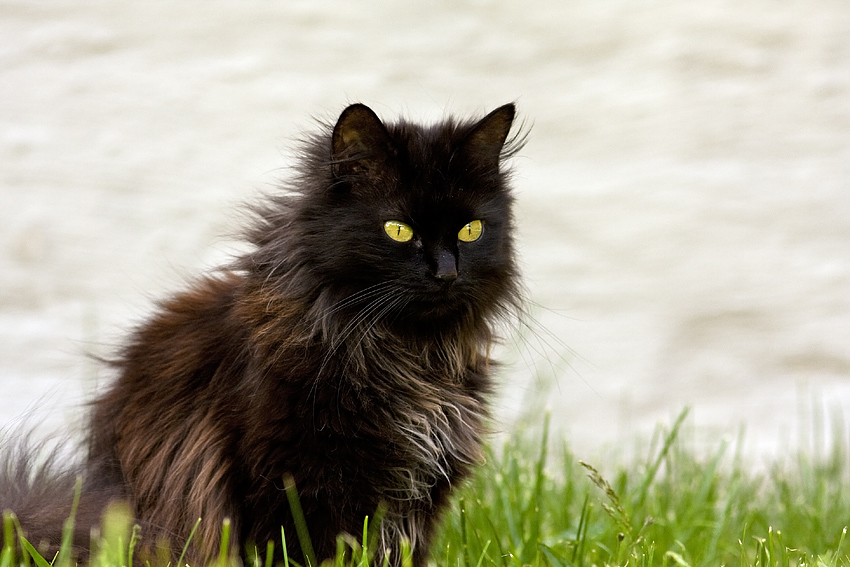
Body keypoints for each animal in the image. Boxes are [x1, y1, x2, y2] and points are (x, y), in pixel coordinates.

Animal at [1, 103, 524, 567]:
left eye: (472, 230)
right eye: (398, 230)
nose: (446, 272)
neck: (408, 354)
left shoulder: (421, 492)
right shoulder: (287, 480)